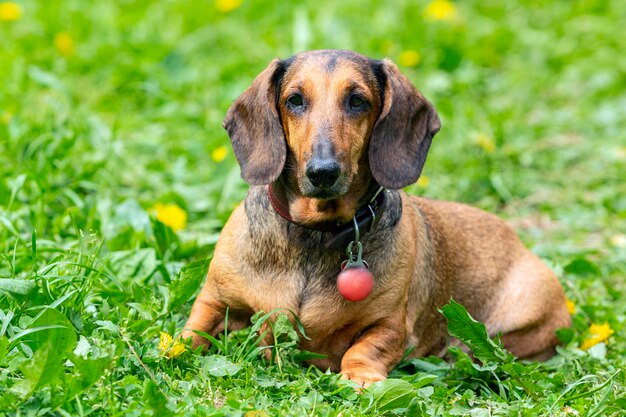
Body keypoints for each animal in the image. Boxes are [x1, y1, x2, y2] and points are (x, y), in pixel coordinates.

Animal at [182, 50, 572, 388]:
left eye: (357, 101)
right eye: (295, 100)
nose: (323, 172)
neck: (316, 233)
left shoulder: (392, 326)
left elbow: (364, 348)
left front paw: (361, 377)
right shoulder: (214, 299)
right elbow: (191, 330)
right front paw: (173, 349)